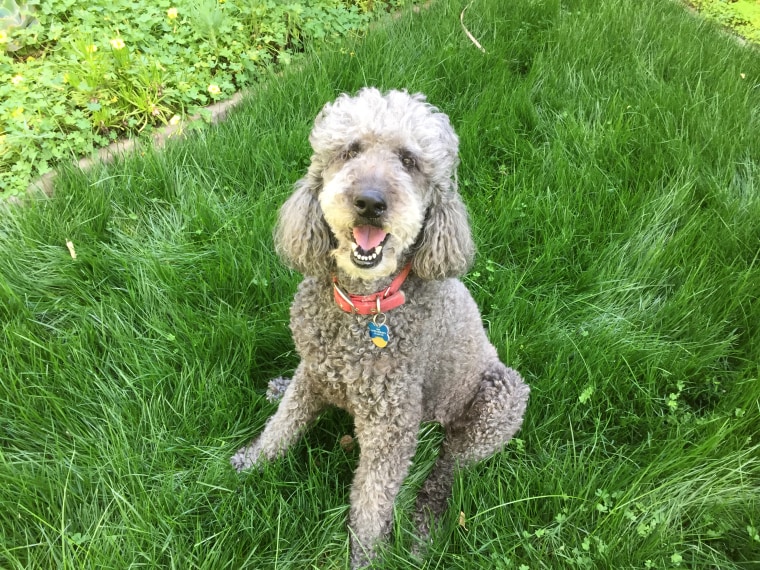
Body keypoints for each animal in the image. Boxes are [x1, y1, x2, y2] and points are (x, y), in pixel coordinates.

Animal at [232, 86, 528, 564]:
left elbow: (372, 501)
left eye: (409, 160)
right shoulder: (313, 371)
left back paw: (423, 529)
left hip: (497, 405)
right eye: (350, 150)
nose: (370, 202)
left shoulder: (391, 425)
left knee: (445, 471)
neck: (362, 306)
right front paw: (256, 460)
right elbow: (284, 423)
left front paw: (365, 557)